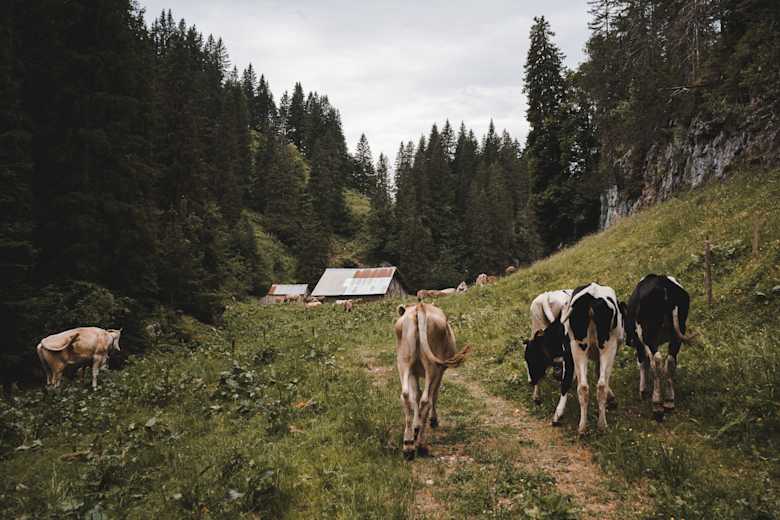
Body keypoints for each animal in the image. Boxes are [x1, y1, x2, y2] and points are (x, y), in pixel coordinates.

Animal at [395, 303, 471, 460]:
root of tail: (419, 307)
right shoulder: (440, 372)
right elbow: (433, 396)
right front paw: (432, 420)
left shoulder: (414, 373)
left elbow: (415, 396)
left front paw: (416, 427)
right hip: (432, 367)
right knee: (426, 400)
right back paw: (421, 445)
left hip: (403, 362)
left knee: (406, 396)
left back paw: (408, 445)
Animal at [547, 283, 623, 434]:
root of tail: (591, 295)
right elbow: (599, 373)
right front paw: (612, 399)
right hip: (608, 346)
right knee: (601, 385)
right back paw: (602, 425)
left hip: (577, 348)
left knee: (582, 386)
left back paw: (580, 426)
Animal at [624, 274, 697, 421]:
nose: (628, 342)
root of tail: (663, 283)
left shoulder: (640, 343)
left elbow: (643, 363)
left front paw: (643, 390)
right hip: (677, 333)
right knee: (670, 361)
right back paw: (669, 401)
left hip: (648, 335)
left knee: (657, 361)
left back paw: (657, 404)